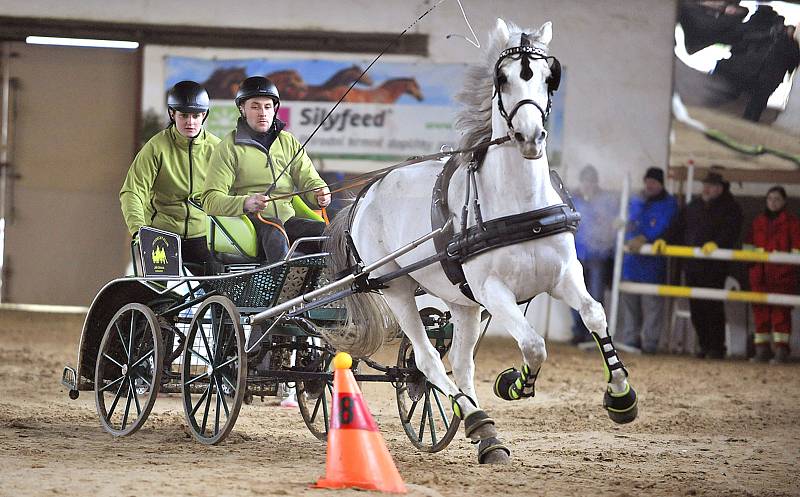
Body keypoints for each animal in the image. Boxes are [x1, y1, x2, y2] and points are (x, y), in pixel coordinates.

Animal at [324, 18, 636, 462]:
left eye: (549, 77)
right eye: (502, 78)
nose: (530, 136)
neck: (519, 204)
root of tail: (365, 194)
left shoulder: (564, 274)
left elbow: (594, 314)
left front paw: (622, 397)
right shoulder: (494, 292)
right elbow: (534, 344)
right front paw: (514, 383)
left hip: (461, 302)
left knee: (459, 361)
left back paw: (484, 431)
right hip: (397, 287)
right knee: (427, 360)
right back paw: (475, 419)